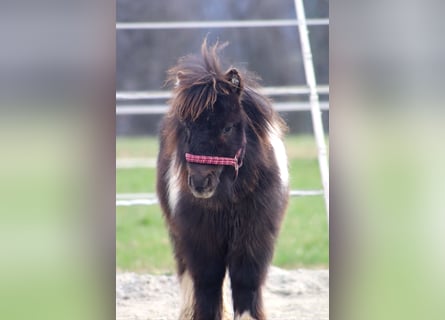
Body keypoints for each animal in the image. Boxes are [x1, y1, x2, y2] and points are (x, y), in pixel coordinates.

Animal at [156, 40, 288, 320]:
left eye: (228, 127)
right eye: (187, 127)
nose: (199, 183)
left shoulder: (254, 238)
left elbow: (245, 283)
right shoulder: (201, 239)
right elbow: (207, 284)